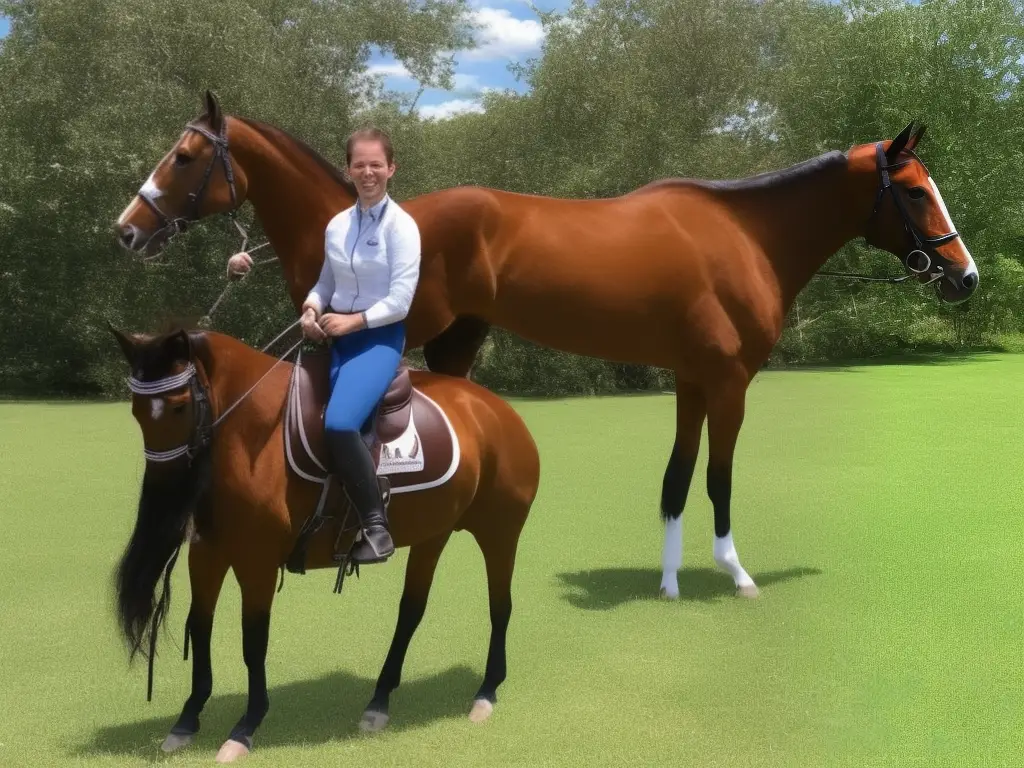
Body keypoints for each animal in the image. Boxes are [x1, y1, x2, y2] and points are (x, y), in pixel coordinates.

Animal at [110, 325, 544, 765]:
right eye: (136, 411)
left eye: (179, 407)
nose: (165, 486)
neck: (254, 434)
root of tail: (497, 409)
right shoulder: (208, 553)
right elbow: (199, 626)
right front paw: (187, 719)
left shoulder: (257, 561)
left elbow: (253, 642)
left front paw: (246, 727)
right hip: (433, 533)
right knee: (411, 611)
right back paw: (379, 701)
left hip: (500, 532)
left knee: (500, 606)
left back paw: (486, 692)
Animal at [112, 91, 974, 602]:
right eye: (917, 190)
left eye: (183, 156)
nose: (963, 275)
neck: (744, 237)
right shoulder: (730, 383)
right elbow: (719, 479)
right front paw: (735, 573)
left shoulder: (694, 380)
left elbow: (677, 479)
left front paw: (669, 581)